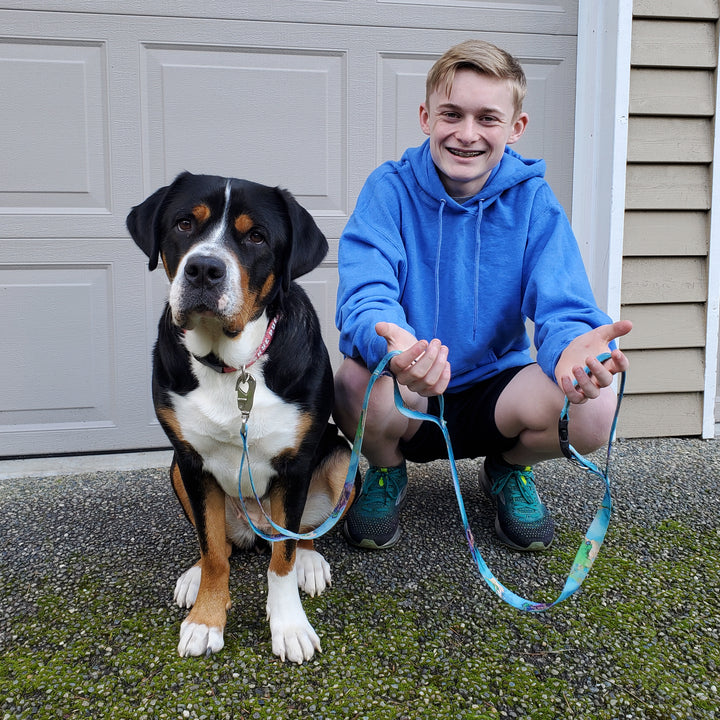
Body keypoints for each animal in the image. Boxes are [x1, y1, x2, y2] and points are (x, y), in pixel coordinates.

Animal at [129, 173, 358, 664]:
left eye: (256, 236)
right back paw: (194, 576)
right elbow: (214, 549)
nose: (203, 269)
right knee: (220, 542)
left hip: (342, 460)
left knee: (301, 533)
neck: (230, 365)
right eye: (183, 224)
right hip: (175, 470)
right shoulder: (191, 462)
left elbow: (282, 559)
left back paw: (311, 562)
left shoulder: (296, 464)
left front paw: (289, 625)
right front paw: (205, 619)